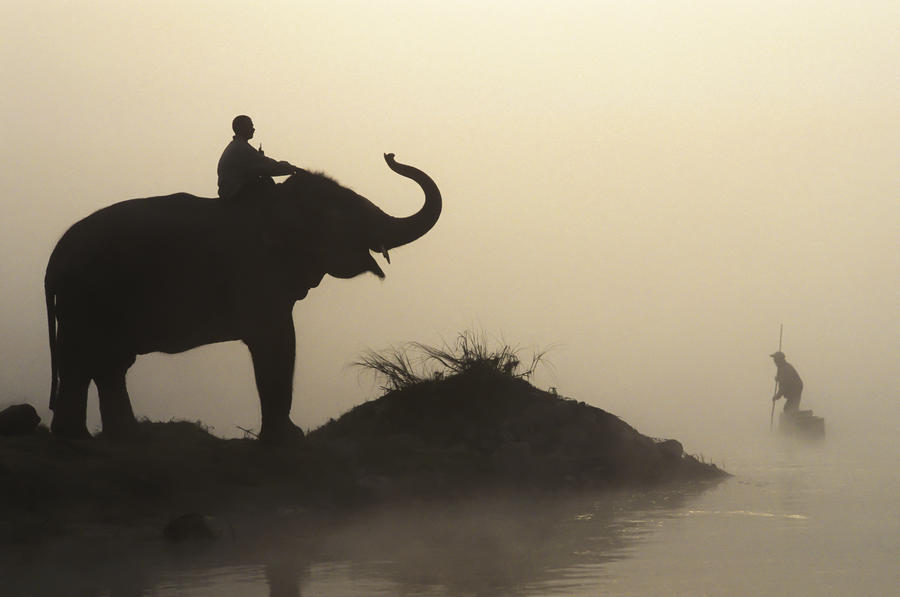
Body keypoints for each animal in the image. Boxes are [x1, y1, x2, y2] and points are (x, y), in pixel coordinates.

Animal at [44, 152, 440, 442]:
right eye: (347, 213)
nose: (390, 155)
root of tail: (54, 260)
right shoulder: (255, 272)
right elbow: (277, 340)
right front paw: (288, 439)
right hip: (87, 298)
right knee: (84, 361)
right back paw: (77, 442)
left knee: (107, 364)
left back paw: (122, 438)